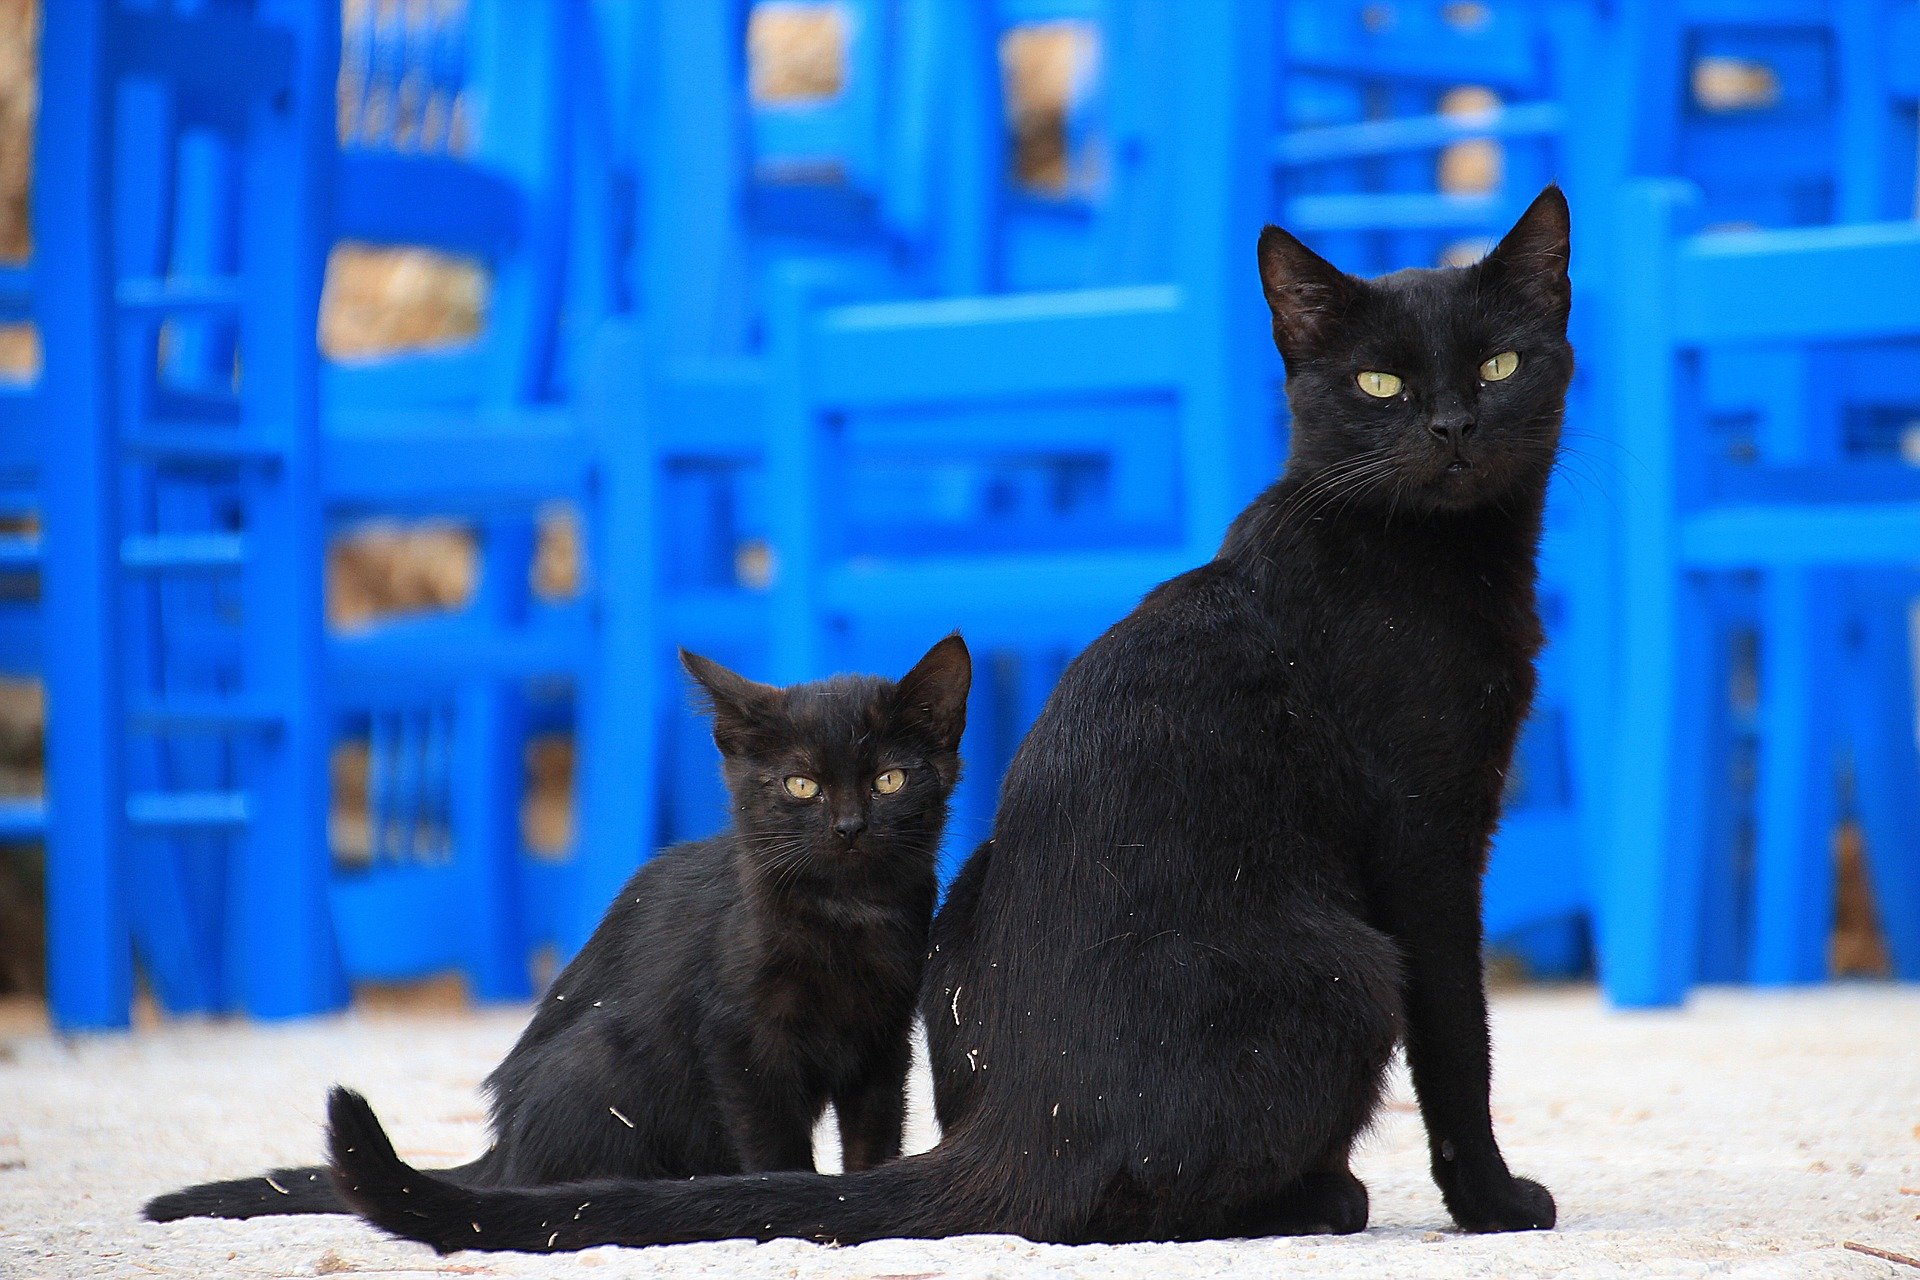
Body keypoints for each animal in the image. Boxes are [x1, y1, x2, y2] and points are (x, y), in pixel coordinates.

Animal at [145, 637, 975, 1228]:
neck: (848, 919)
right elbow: (773, 1145)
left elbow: (874, 1138)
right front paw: (799, 1202)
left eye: (889, 780)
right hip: (602, 1061)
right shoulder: (739, 1042)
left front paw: (860, 1200)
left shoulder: (881, 1045)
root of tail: (500, 1148)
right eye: (801, 784)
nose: (849, 826)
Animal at [322, 188, 1566, 1251]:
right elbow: (1463, 1042)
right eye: (1380, 386)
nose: (1452, 427)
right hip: (1353, 965)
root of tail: (1018, 1131)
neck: (1423, 553)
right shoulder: (1427, 845)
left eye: (1501, 364)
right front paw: (1493, 1200)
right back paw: (1323, 1195)